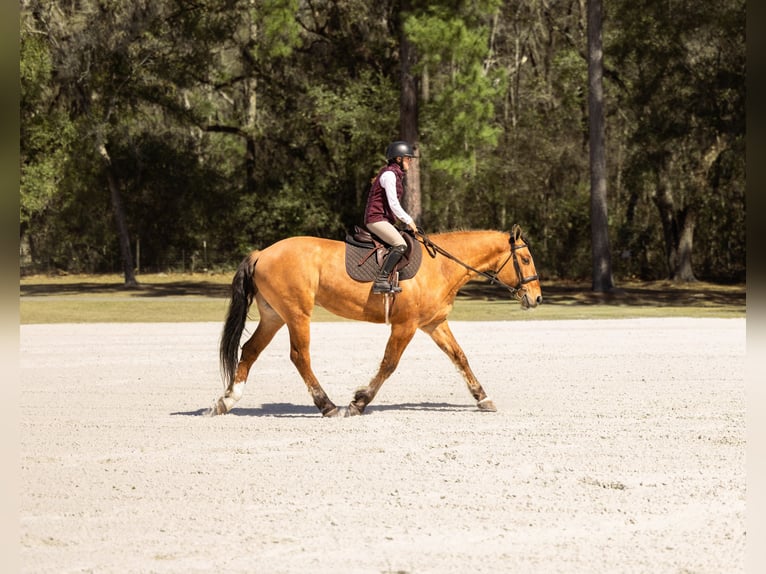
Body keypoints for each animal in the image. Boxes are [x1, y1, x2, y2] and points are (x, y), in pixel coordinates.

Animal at [208, 225, 542, 417]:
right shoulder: (405, 325)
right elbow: (389, 364)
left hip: (274, 315)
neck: (441, 267)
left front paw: (483, 398)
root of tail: (262, 252)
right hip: (296, 314)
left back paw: (227, 401)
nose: (537, 298)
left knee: (250, 350)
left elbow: (460, 357)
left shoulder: (433, 324)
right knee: (299, 356)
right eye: (526, 259)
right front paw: (359, 402)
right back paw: (327, 406)